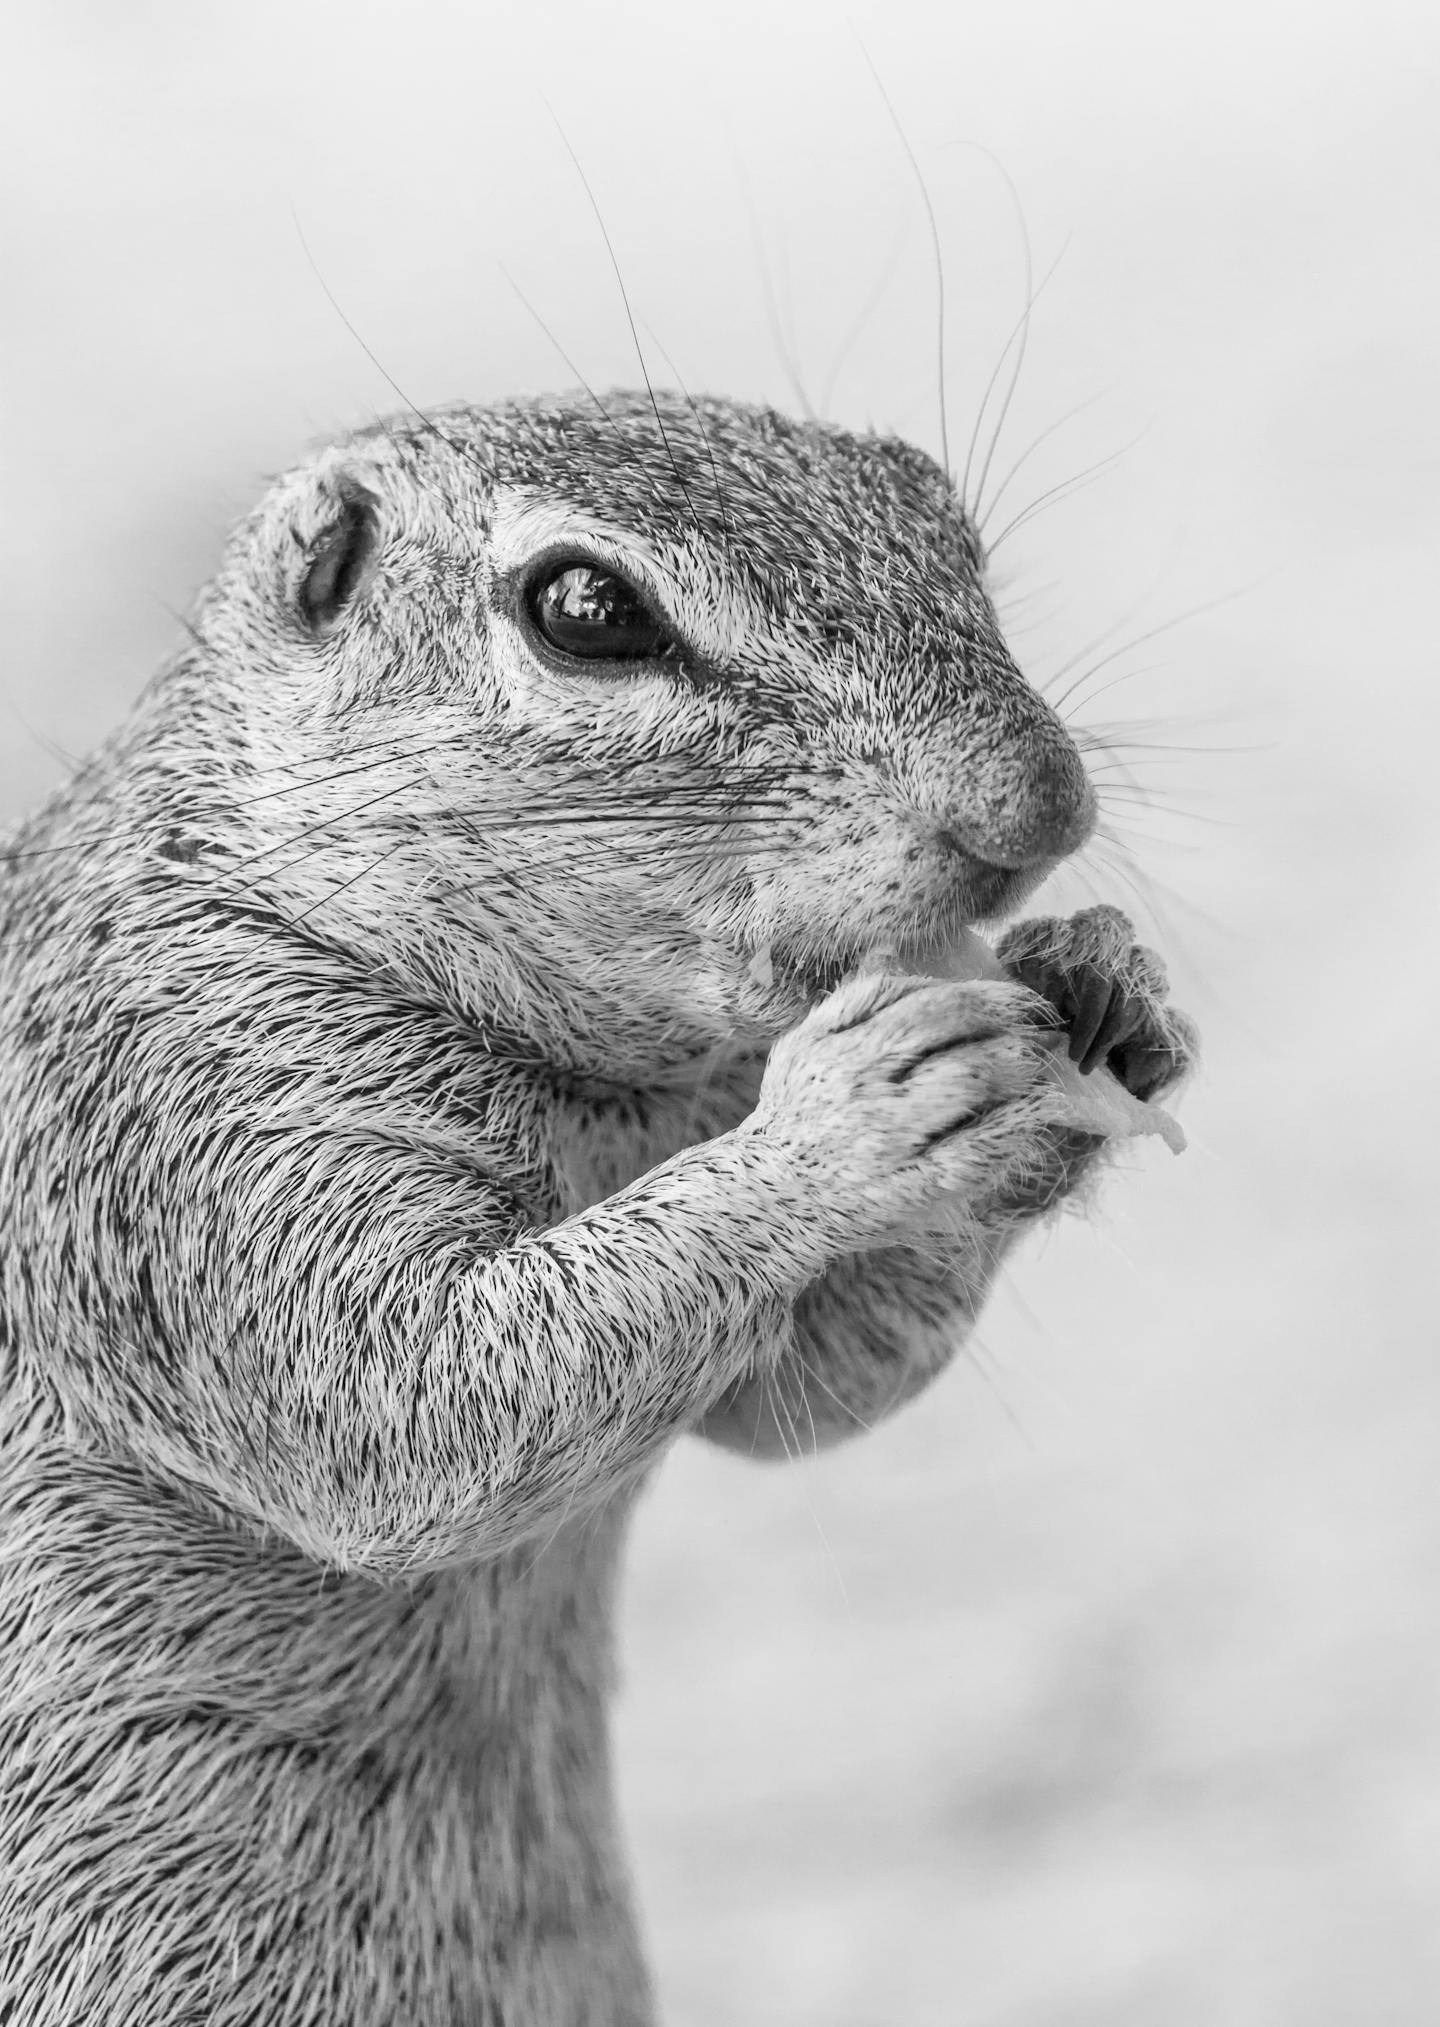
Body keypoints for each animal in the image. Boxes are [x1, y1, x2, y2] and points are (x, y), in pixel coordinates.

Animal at [0, 389, 1195, 2025]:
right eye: (586, 608)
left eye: (931, 502)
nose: (1042, 807)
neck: (610, 1099)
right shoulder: (171, 1118)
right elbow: (402, 1407)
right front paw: (859, 1108)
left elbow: (799, 1394)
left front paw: (1103, 986)